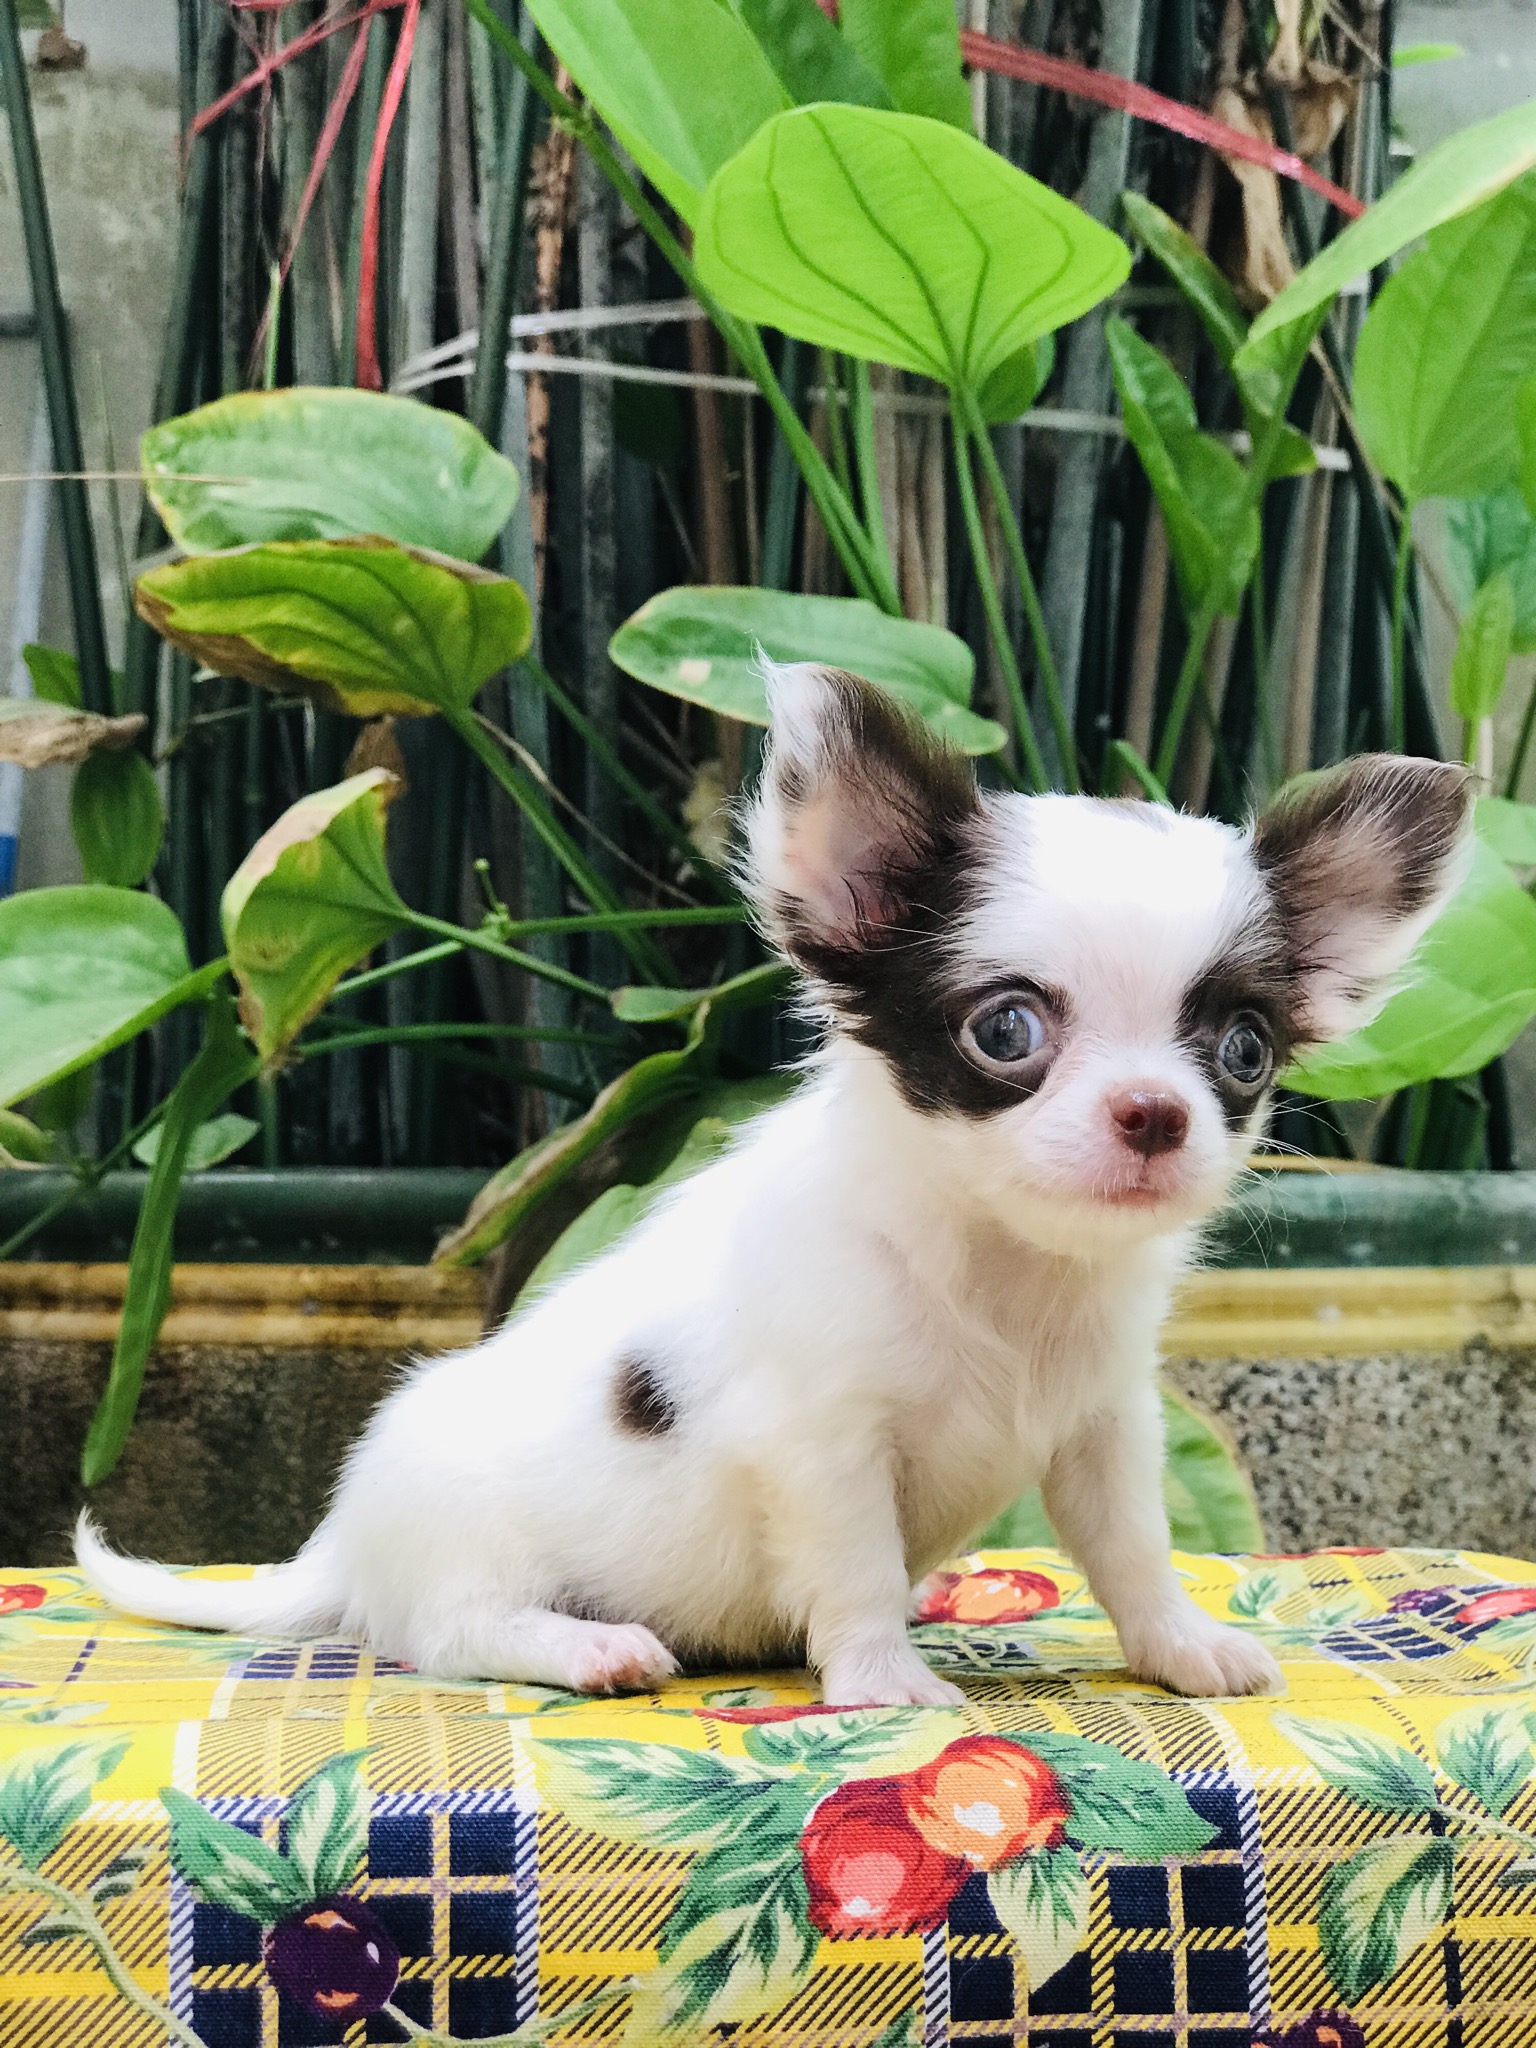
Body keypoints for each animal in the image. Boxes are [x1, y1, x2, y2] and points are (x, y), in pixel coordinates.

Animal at [79, 664, 1470, 1705]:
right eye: (1007, 1031)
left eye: (1241, 1050)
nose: (1155, 1112)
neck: (1000, 1267)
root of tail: (342, 1536)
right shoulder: (820, 1443)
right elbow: (853, 1565)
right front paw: (884, 1679)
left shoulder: (1103, 1429)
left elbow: (1133, 1550)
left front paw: (1182, 1647)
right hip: (466, 1551)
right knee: (453, 1629)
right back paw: (589, 1645)